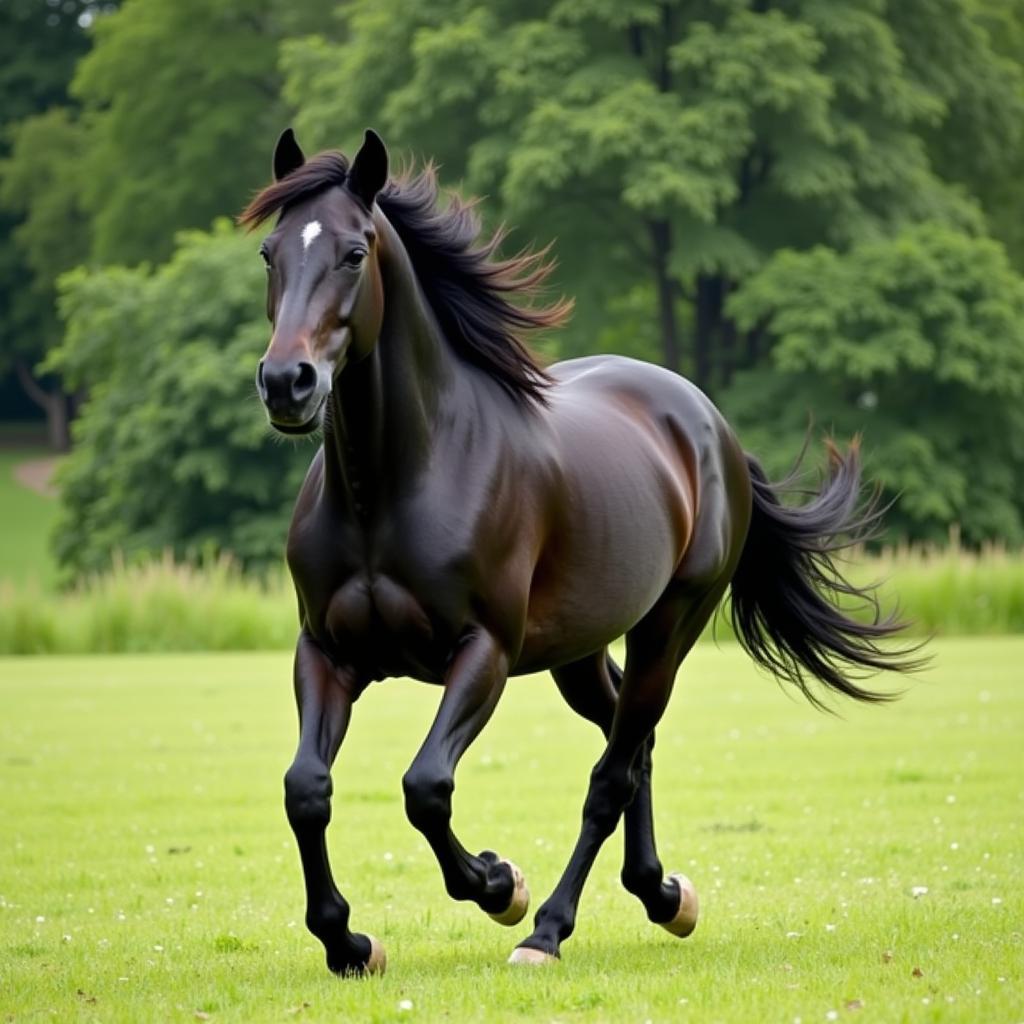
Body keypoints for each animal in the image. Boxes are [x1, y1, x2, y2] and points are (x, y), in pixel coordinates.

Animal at [239, 128, 921, 974]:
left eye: (354, 253)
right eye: (270, 253)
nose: (287, 383)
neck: (393, 485)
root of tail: (710, 424)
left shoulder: (484, 652)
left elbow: (426, 787)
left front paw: (500, 884)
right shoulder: (329, 651)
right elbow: (306, 789)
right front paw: (348, 941)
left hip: (669, 625)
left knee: (613, 771)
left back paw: (548, 930)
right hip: (578, 650)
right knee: (629, 736)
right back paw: (661, 892)